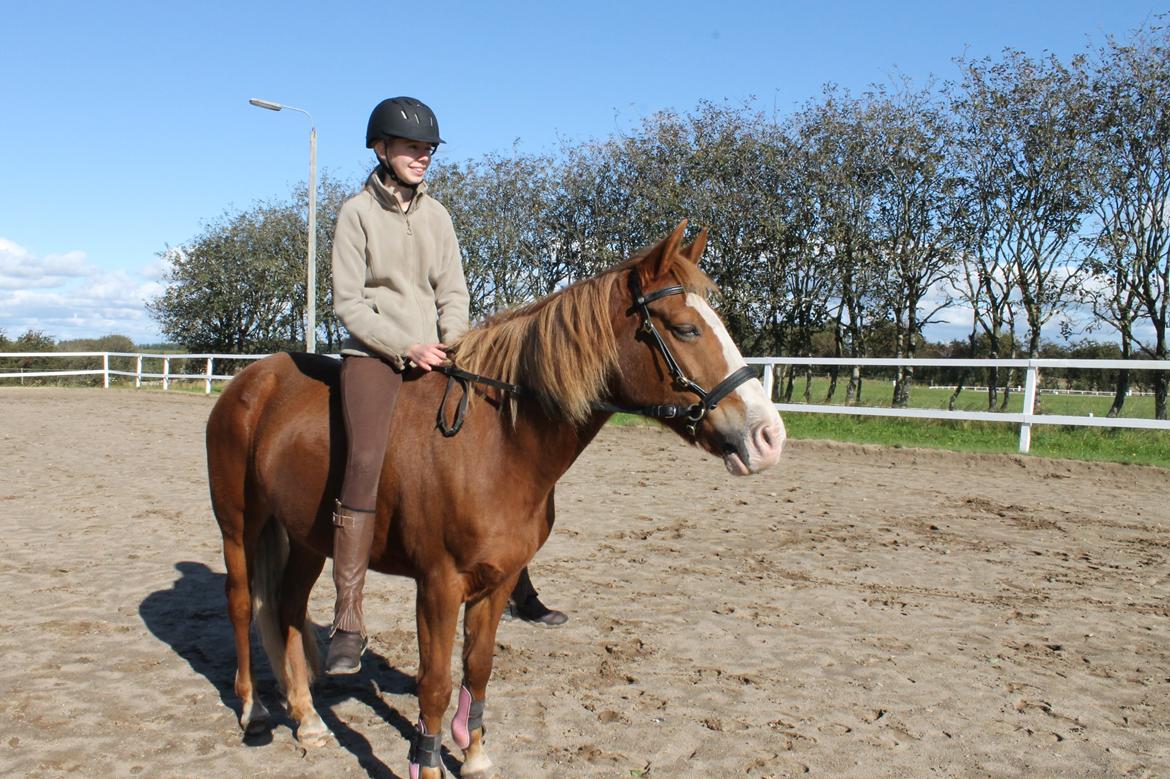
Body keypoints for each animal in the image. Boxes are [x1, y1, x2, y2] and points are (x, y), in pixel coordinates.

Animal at [210, 219, 786, 776]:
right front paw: (427, 764)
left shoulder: (498, 580)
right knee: (240, 603)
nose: (768, 437)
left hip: (306, 538)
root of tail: (252, 378)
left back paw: (307, 719)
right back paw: (254, 713)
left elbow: (479, 669)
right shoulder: (438, 586)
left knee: (286, 607)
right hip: (239, 525)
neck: (496, 445)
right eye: (686, 328)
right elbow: (435, 686)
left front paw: (475, 754)